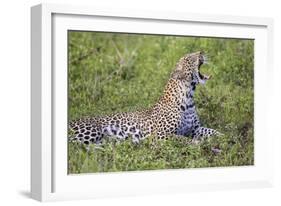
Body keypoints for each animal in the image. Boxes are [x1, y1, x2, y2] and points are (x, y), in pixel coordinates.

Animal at [69, 51, 220, 145]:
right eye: (189, 58)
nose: (201, 52)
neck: (188, 98)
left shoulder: (195, 129)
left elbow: (212, 131)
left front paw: (222, 137)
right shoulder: (159, 135)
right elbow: (181, 138)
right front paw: (197, 143)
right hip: (92, 131)